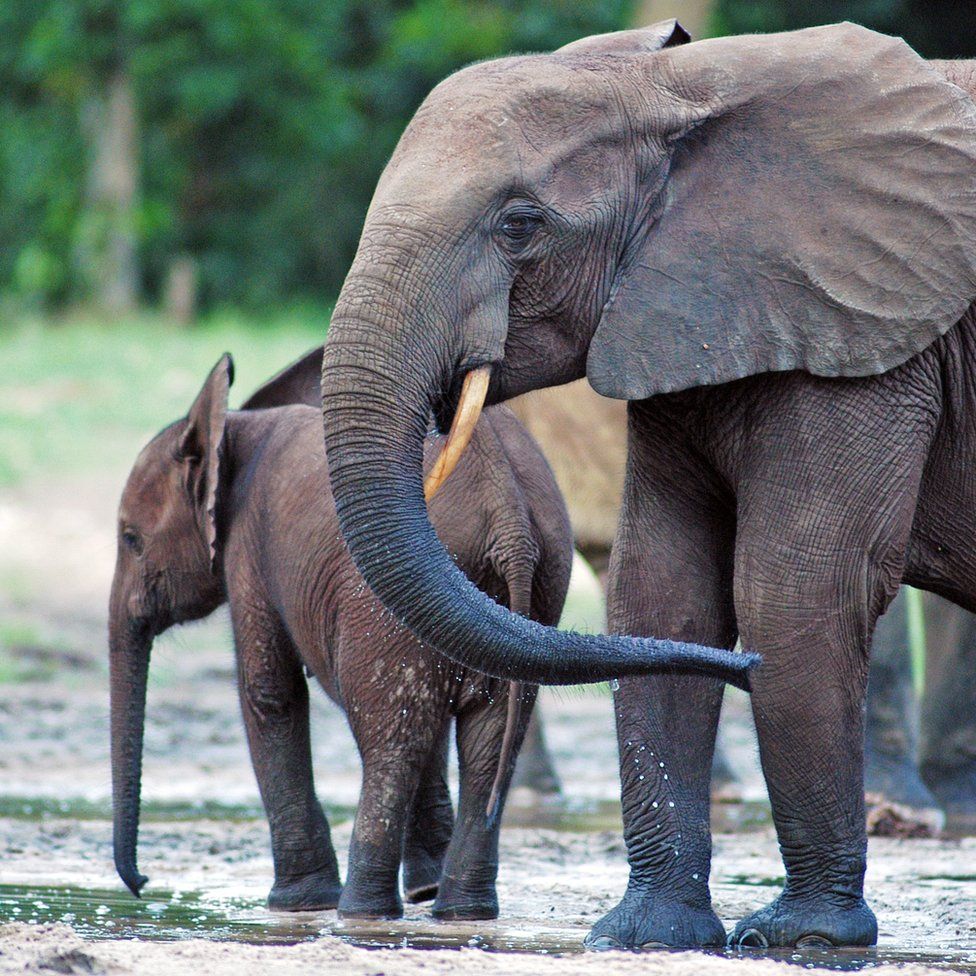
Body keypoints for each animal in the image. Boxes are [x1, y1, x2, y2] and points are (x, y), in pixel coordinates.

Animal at [110, 354, 576, 920]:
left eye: (131, 540)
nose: (142, 883)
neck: (233, 427)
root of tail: (506, 511)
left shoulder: (249, 553)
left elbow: (269, 693)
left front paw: (296, 905)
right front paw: (421, 890)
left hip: (389, 602)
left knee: (390, 742)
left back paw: (360, 913)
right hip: (533, 584)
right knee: (480, 743)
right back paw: (458, 911)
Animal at [324, 19, 976, 948]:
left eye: (519, 225)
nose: (742, 671)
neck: (676, 89)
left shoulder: (872, 337)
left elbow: (796, 587)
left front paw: (799, 940)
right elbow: (662, 588)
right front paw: (641, 938)